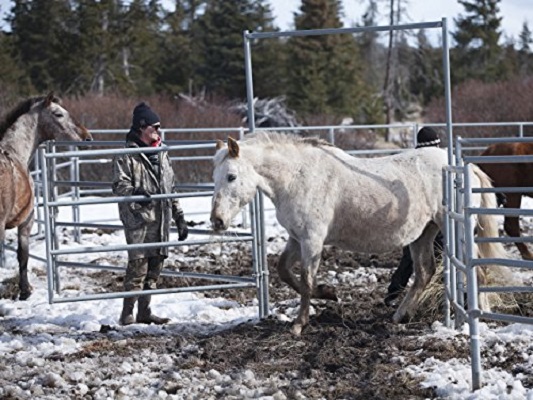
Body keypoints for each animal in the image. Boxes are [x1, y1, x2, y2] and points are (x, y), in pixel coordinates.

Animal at [0, 94, 92, 298]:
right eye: (58, 114)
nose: (87, 137)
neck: (15, 152)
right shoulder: (27, 221)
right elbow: (23, 255)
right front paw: (25, 291)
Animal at [211, 133, 502, 336]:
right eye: (215, 177)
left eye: (231, 176)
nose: (217, 221)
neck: (298, 176)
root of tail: (464, 166)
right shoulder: (296, 238)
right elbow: (284, 271)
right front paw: (328, 292)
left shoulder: (312, 240)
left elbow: (305, 280)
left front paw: (299, 323)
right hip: (423, 234)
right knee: (424, 272)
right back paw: (400, 316)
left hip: (455, 229)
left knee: (477, 270)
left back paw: (483, 314)